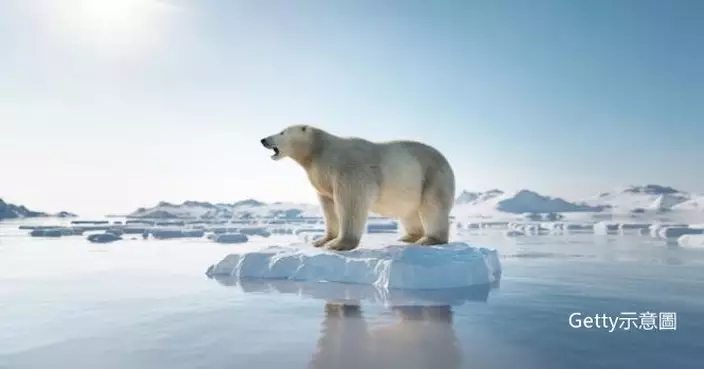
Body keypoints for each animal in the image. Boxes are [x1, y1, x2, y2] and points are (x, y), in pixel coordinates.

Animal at [260, 124, 456, 250]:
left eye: (282, 132)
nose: (263, 139)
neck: (320, 150)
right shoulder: (322, 178)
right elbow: (328, 206)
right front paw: (322, 240)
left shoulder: (349, 169)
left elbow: (351, 201)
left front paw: (338, 244)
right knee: (409, 211)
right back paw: (408, 236)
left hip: (432, 176)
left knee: (432, 207)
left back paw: (429, 239)